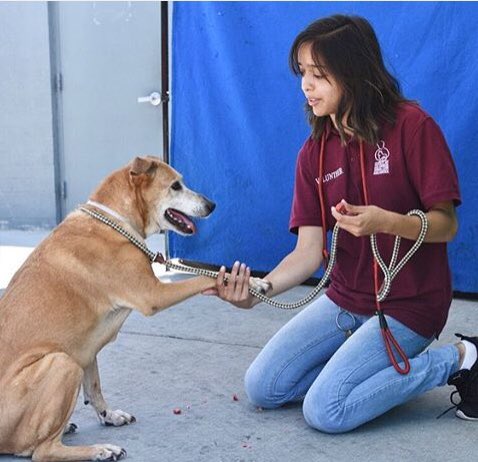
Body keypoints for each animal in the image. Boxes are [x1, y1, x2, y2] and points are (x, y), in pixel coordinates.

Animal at [0, 157, 268, 460]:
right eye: (175, 186)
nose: (212, 205)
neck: (115, 220)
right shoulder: (154, 294)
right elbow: (205, 275)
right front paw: (252, 281)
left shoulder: (86, 347)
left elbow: (94, 386)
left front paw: (109, 415)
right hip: (62, 362)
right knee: (42, 451)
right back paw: (100, 450)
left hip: (70, 361)